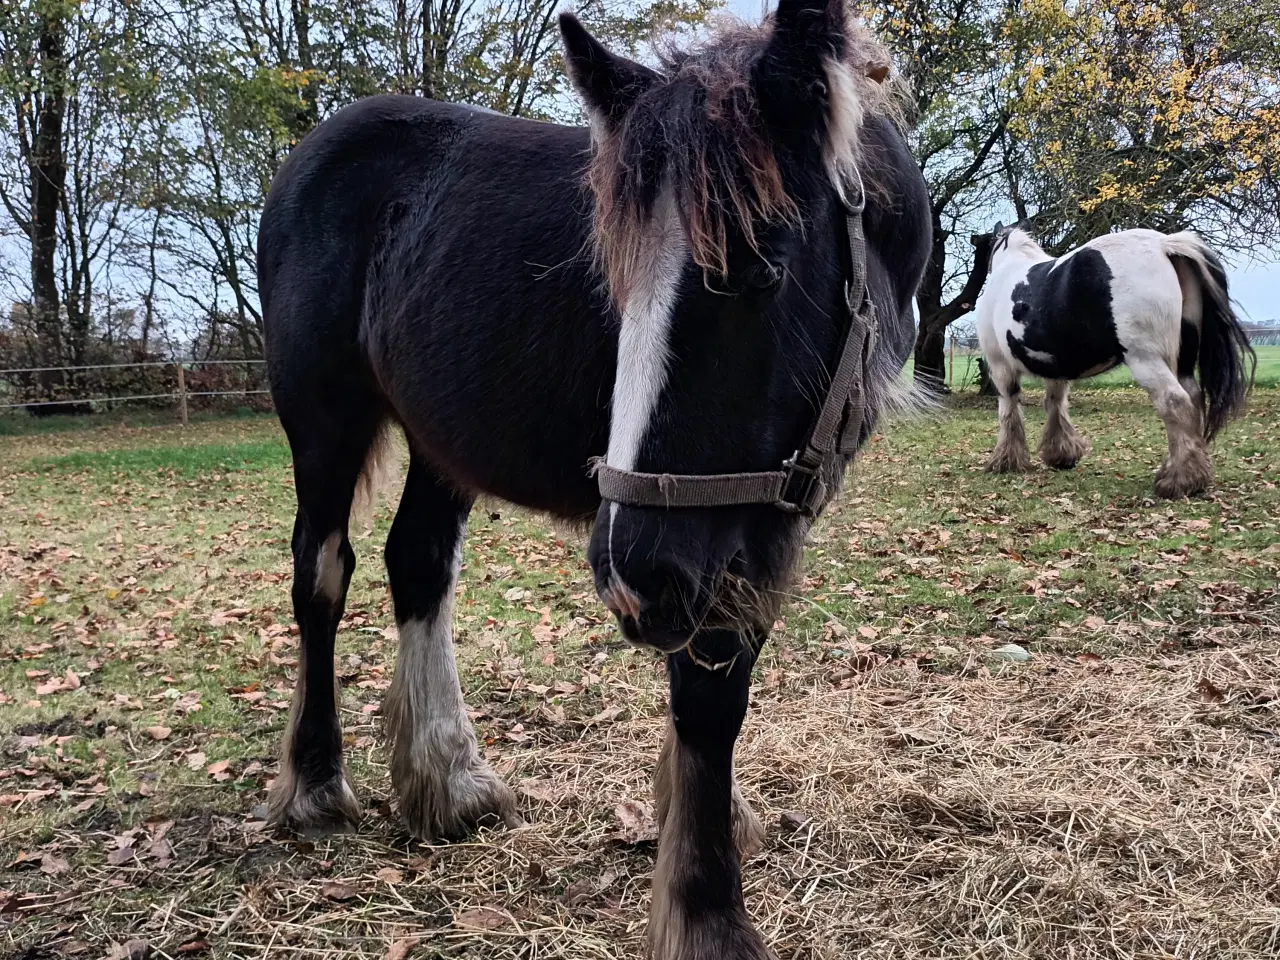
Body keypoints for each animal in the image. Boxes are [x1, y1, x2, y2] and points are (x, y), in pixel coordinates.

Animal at [254, 3, 931, 957]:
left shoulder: (757, 516)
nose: (628, 574)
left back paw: (448, 780)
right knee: (320, 571)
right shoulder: (713, 540)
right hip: (325, 420)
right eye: (614, 274)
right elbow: (710, 694)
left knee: (418, 562)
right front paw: (707, 914)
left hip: (442, 442)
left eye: (760, 266)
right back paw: (315, 783)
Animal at [977, 224, 1249, 496]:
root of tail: (1165, 245)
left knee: (1175, 402)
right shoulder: (1057, 369)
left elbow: (1009, 409)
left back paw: (1179, 481)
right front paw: (1061, 454)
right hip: (1182, 363)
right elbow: (1056, 403)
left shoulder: (1001, 368)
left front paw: (1006, 461)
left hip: (1146, 361)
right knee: (1192, 400)